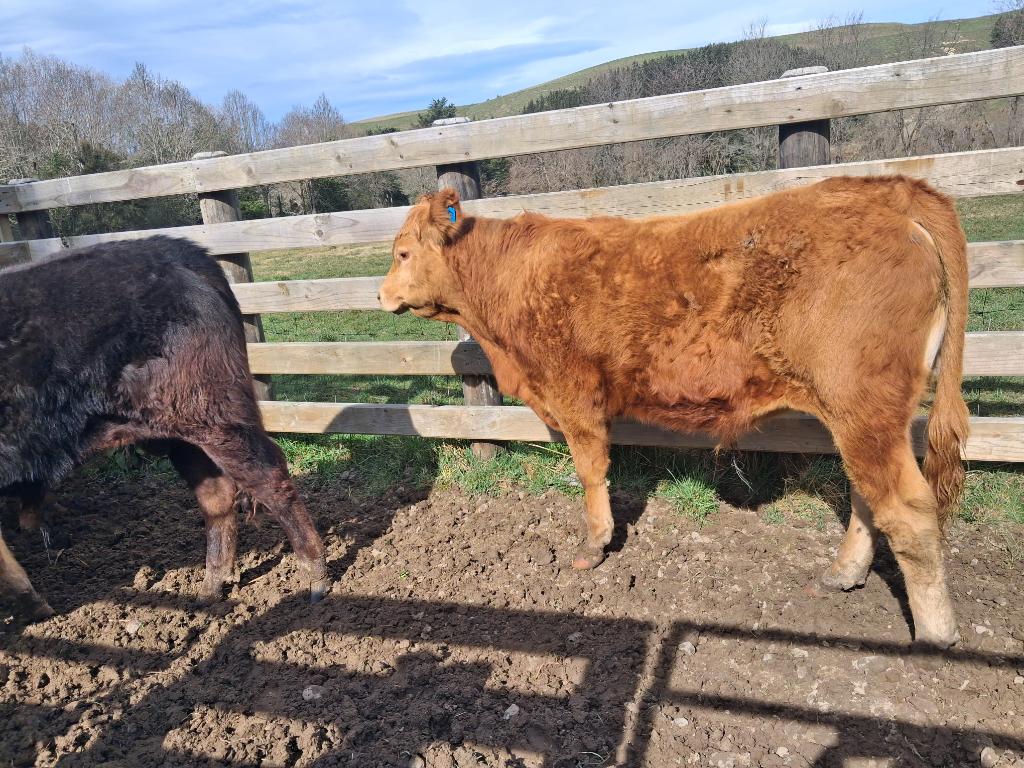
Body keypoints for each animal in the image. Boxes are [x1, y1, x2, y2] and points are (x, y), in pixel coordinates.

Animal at [1, 236, 329, 618]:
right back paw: (210, 589)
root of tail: (175, 248)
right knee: (217, 495)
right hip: (182, 436)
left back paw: (316, 577)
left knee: (269, 478)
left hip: (214, 420)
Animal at [378, 177, 970, 648]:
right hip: (858, 416)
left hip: (865, 407)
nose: (381, 295)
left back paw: (935, 635)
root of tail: (887, 189)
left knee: (907, 509)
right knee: (867, 495)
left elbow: (591, 470)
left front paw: (594, 545)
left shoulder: (575, 392)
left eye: (403, 253)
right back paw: (843, 574)